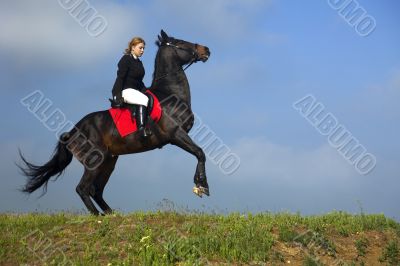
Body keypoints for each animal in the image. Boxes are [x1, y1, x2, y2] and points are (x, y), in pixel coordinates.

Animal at [18, 30, 212, 215]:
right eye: (180, 42)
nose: (206, 50)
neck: (169, 93)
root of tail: (73, 131)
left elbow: (199, 154)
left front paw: (199, 184)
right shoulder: (176, 134)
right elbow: (200, 153)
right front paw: (202, 185)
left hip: (108, 162)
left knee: (96, 190)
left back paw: (111, 214)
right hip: (95, 160)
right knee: (83, 188)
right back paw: (98, 217)